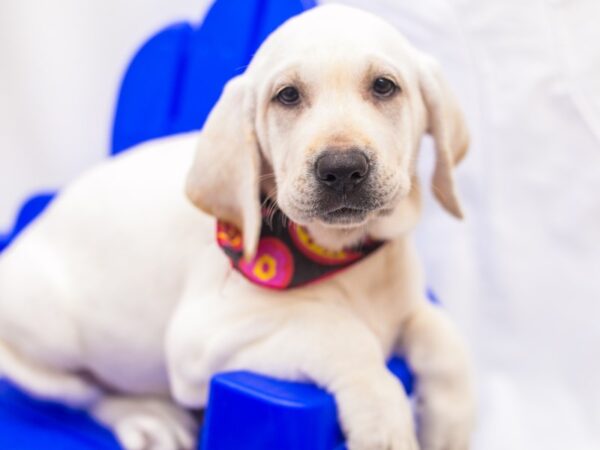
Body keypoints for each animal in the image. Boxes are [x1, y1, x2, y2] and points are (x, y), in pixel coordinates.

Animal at [0, 4, 474, 450]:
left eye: (383, 86)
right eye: (287, 96)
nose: (341, 169)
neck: (341, 255)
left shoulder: (409, 306)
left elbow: (446, 339)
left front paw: (450, 425)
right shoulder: (202, 336)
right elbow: (338, 331)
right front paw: (385, 424)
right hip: (47, 334)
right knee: (89, 394)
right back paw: (150, 416)